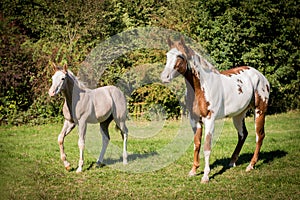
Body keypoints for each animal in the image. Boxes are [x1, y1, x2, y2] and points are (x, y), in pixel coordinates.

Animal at [161, 36, 270, 184]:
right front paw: (193, 171)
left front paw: (205, 176)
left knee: (259, 136)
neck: (201, 87)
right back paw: (232, 162)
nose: (164, 77)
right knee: (243, 134)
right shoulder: (194, 120)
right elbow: (196, 144)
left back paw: (250, 165)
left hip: (260, 111)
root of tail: (261, 76)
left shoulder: (209, 120)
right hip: (238, 115)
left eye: (180, 56)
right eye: (167, 55)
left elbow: (207, 147)